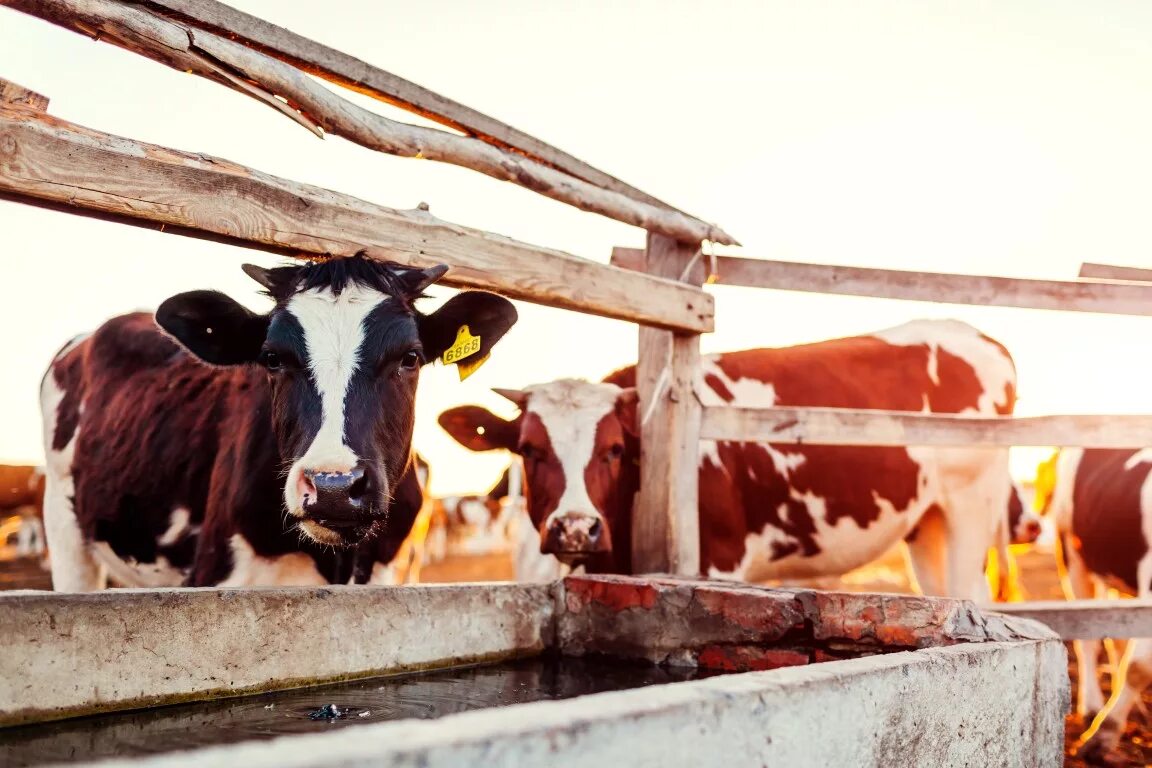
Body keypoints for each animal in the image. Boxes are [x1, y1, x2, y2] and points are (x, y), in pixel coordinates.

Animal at [440, 317, 1018, 598]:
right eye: (529, 449)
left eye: (615, 449)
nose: (577, 528)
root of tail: (974, 333)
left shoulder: (722, 559)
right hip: (928, 525)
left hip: (971, 509)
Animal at [1046, 444, 1152, 764]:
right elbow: (1140, 666)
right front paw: (1102, 737)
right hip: (1071, 553)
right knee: (1089, 642)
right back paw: (1093, 708)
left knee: (1117, 639)